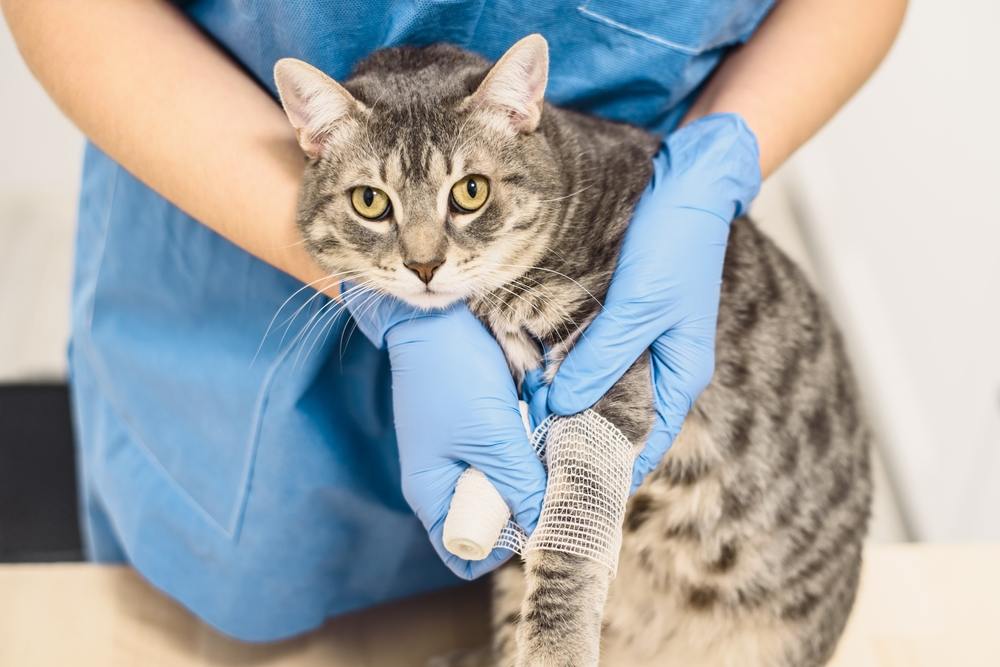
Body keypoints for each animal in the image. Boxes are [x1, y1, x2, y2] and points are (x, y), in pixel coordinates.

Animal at [278, 35, 872, 667]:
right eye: (370, 201)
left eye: (470, 192)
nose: (423, 265)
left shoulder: (608, 370)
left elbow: (569, 539)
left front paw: (555, 646)